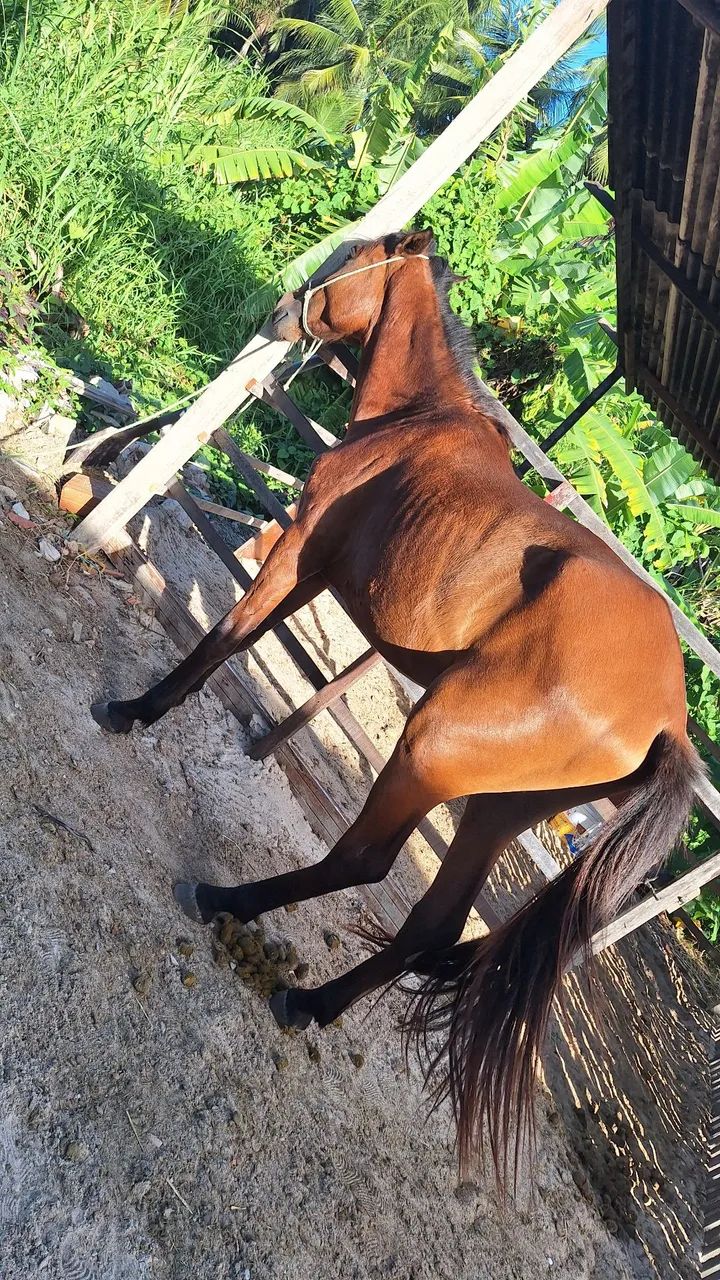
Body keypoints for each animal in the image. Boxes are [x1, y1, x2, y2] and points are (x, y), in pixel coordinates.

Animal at [91, 228, 702, 1180]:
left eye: (350, 258)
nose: (281, 309)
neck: (418, 419)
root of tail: (667, 720)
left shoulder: (300, 552)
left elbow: (226, 637)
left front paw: (137, 710)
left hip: (427, 752)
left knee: (368, 862)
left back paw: (229, 902)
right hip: (490, 811)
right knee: (431, 926)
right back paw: (311, 1005)